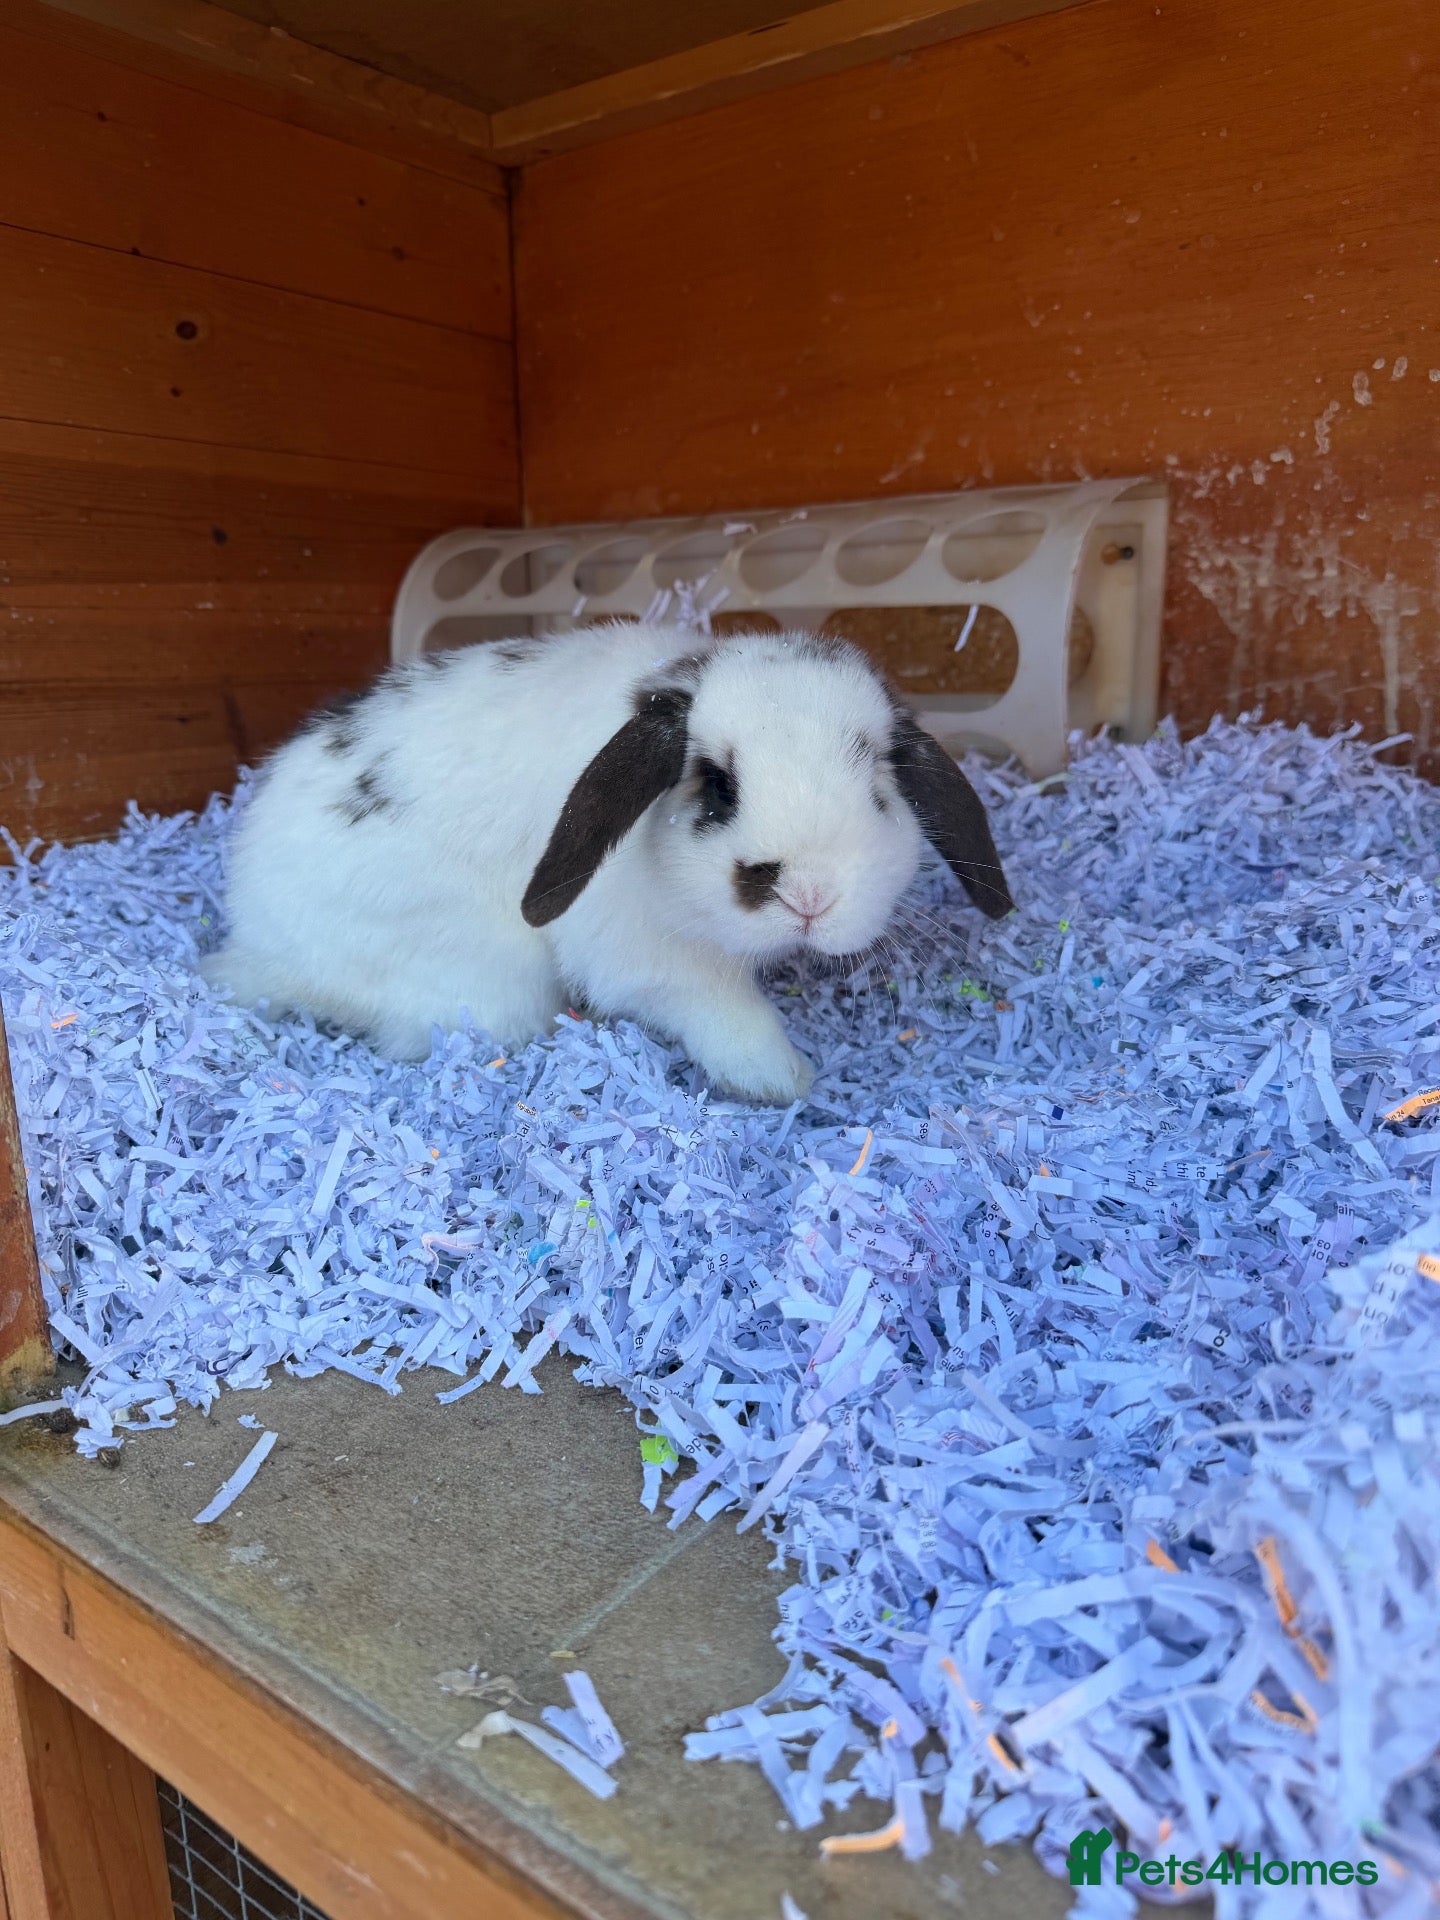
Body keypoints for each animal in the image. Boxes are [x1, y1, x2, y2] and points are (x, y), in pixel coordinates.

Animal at [201, 623, 1013, 1102]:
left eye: (878, 786)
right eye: (717, 785)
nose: (808, 897)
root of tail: (258, 950)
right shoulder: (653, 960)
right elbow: (725, 1013)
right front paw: (785, 1081)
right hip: (484, 984)